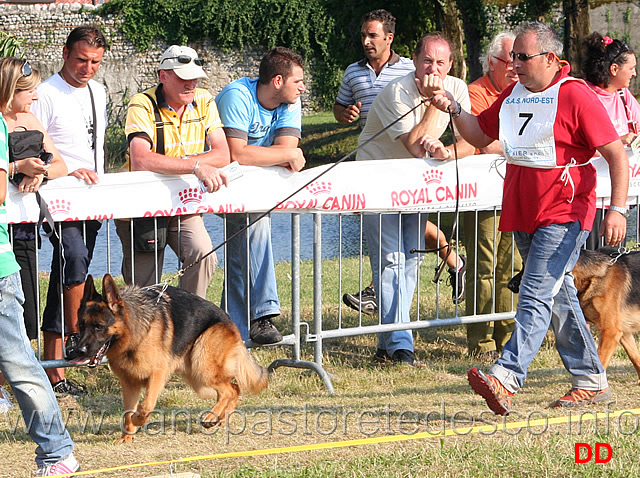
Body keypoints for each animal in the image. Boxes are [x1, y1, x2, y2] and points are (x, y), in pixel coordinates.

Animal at [69, 274, 268, 442]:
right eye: (81, 325)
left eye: (99, 326)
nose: (78, 351)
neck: (134, 334)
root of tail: (231, 322)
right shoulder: (129, 383)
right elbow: (127, 411)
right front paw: (127, 436)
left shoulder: (157, 374)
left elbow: (145, 406)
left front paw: (138, 420)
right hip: (197, 378)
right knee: (233, 388)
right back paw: (220, 418)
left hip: (201, 366)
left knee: (230, 390)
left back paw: (212, 416)